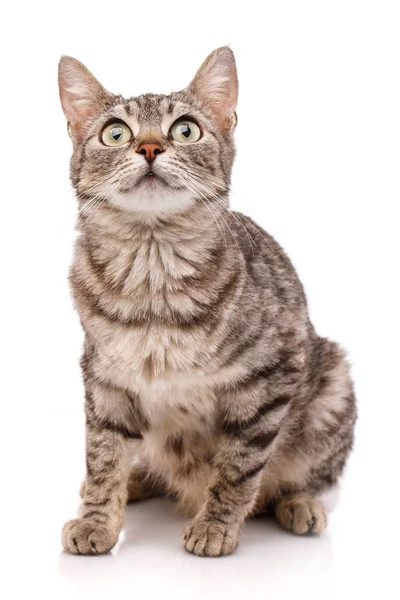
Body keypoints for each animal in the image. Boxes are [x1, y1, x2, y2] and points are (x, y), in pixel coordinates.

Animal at [57, 47, 356, 556]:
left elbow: (238, 466)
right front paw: (96, 518)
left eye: (185, 130)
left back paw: (299, 503)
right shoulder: (105, 383)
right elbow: (103, 458)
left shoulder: (271, 377)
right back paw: (136, 481)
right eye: (115, 133)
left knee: (308, 478)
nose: (149, 148)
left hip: (333, 386)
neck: (152, 270)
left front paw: (215, 525)